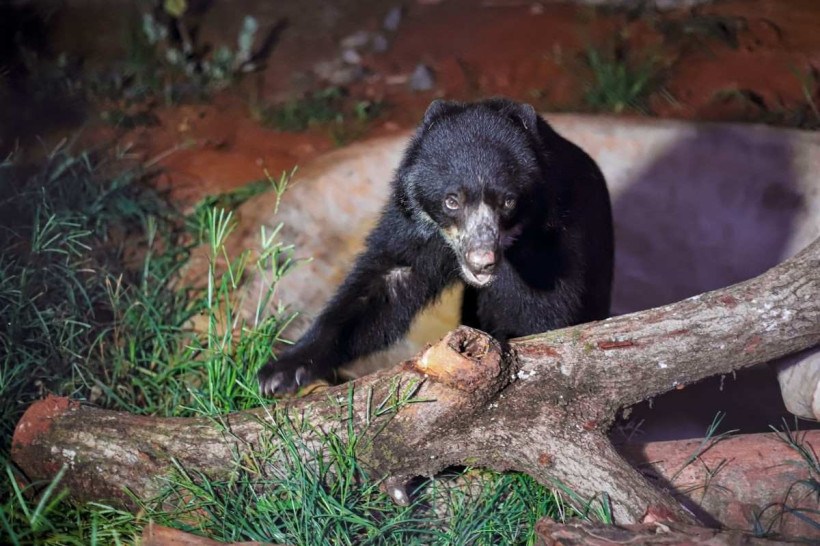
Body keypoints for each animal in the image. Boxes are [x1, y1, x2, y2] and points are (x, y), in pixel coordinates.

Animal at [260, 98, 612, 394]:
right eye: (452, 200)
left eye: (508, 201)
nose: (482, 260)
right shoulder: (414, 228)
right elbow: (386, 284)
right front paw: (281, 373)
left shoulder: (556, 237)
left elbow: (545, 310)